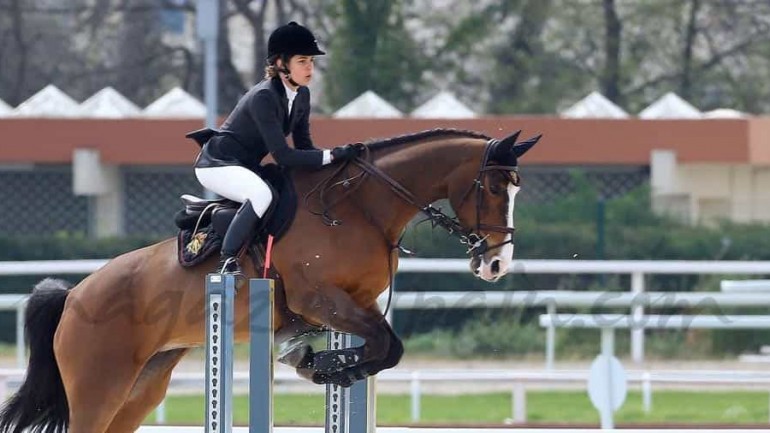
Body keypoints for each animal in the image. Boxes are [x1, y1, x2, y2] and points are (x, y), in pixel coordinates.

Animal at [0, 128, 539, 433]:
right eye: (495, 187)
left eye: (517, 188)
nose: (496, 264)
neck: (358, 209)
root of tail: (74, 295)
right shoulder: (320, 299)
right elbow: (387, 345)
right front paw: (325, 367)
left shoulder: (356, 302)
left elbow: (386, 347)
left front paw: (322, 363)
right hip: (99, 386)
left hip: (141, 388)